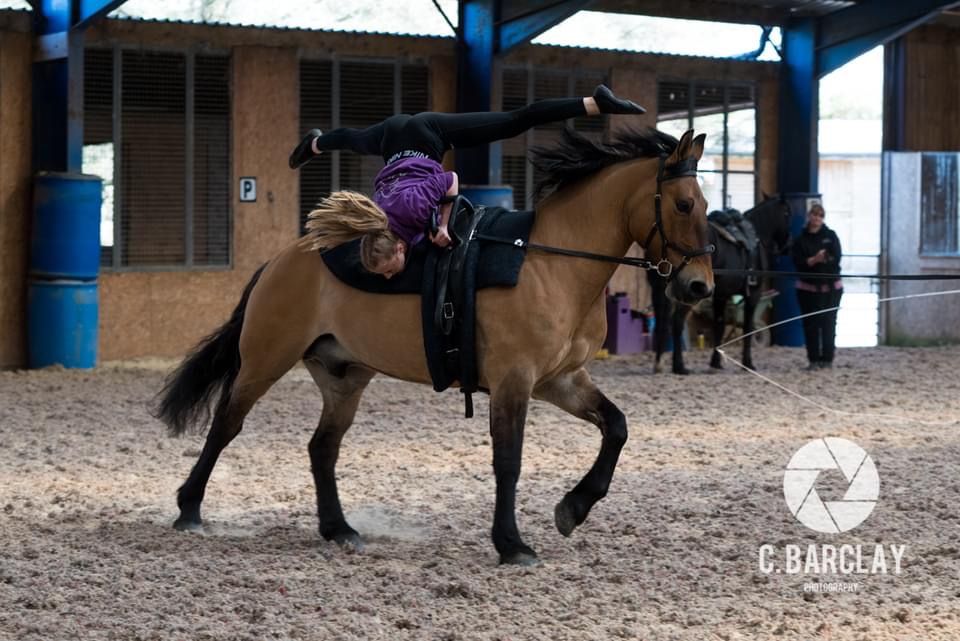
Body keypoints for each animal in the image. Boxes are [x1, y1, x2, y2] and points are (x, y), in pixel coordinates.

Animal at [156, 126, 712, 564]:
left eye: (705, 205)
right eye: (684, 204)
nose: (700, 286)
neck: (550, 262)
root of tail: (282, 259)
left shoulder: (562, 380)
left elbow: (616, 427)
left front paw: (572, 509)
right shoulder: (515, 381)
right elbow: (508, 460)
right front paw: (512, 544)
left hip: (344, 377)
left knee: (322, 447)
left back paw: (339, 529)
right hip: (265, 362)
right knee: (226, 425)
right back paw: (189, 509)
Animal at [648, 198, 792, 372]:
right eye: (787, 213)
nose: (788, 245)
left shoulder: (720, 295)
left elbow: (719, 325)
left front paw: (716, 362)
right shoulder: (753, 296)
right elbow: (747, 327)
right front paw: (747, 363)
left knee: (662, 323)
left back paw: (659, 362)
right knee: (677, 322)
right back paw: (679, 366)